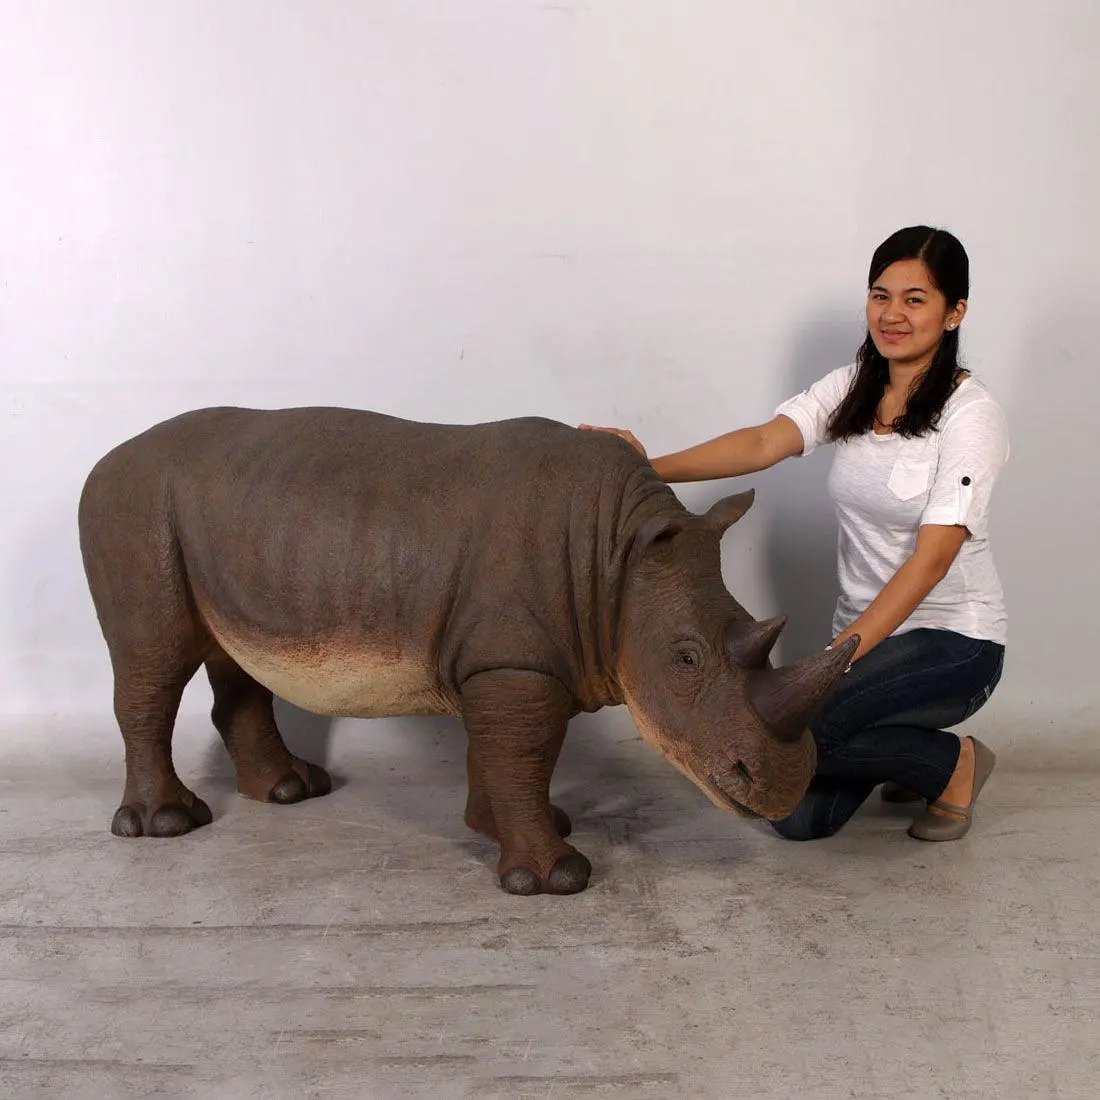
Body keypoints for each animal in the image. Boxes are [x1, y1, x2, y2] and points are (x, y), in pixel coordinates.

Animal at [78, 407, 856, 895]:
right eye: (686, 659)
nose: (787, 783)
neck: (614, 561)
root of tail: (104, 457)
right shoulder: (515, 663)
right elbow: (523, 750)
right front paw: (554, 880)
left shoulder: (506, 658)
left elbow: (503, 750)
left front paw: (501, 829)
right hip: (131, 508)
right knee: (154, 663)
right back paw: (167, 826)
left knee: (234, 660)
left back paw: (290, 792)